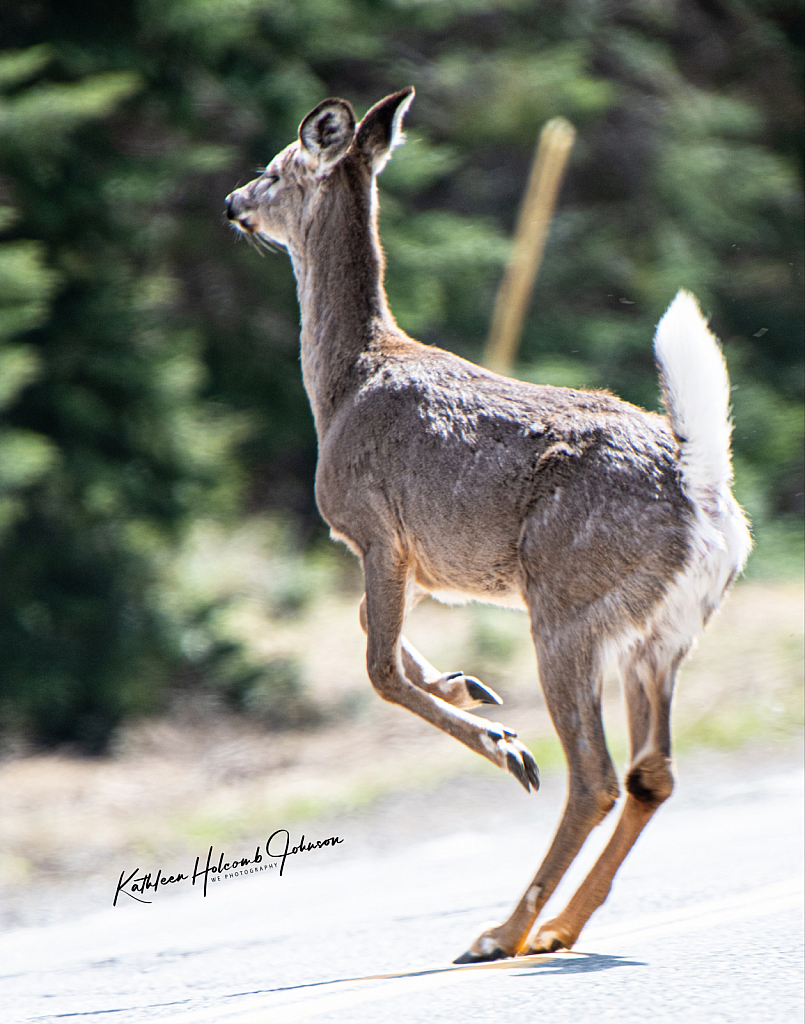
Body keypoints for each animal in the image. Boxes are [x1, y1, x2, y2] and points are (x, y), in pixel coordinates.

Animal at [222, 86, 749, 958]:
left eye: (275, 168)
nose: (231, 202)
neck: (345, 381)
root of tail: (700, 489)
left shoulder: (373, 527)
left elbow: (376, 666)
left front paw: (503, 743)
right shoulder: (413, 557)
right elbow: (371, 629)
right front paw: (467, 687)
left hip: (567, 607)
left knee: (594, 776)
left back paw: (502, 930)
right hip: (665, 632)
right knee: (651, 772)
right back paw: (556, 929)